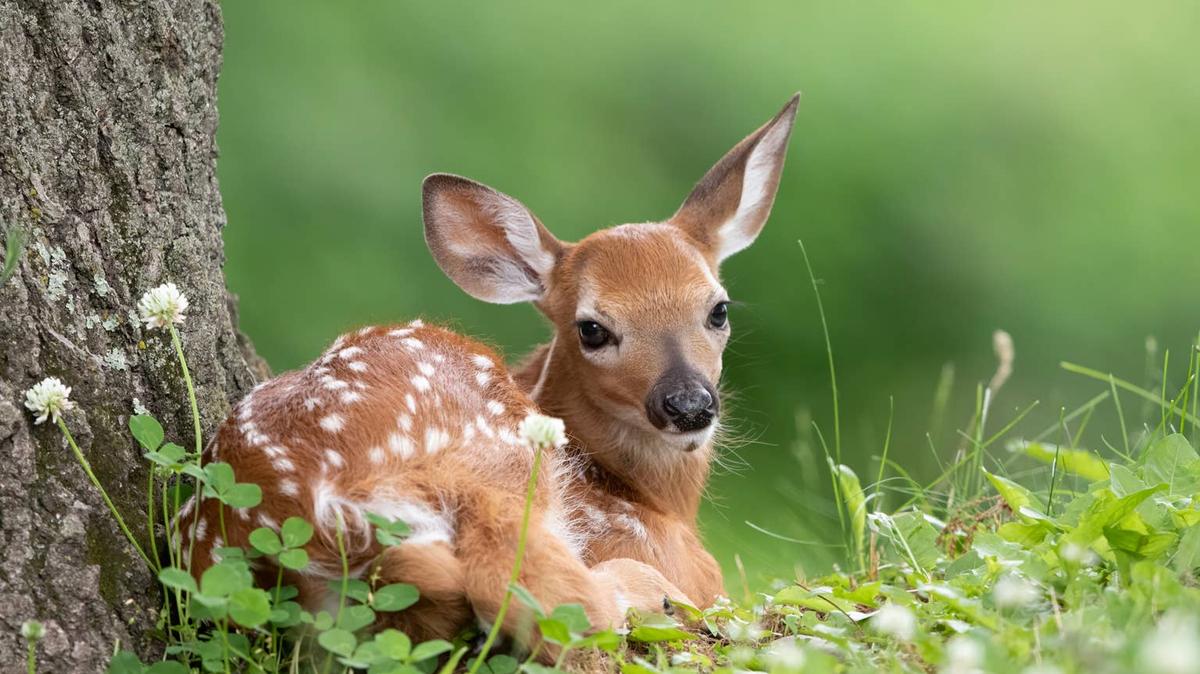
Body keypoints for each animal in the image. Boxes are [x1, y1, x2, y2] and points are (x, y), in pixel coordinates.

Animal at [177, 93, 800, 652]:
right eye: (592, 329)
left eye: (718, 309)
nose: (688, 404)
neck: (650, 498)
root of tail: (315, 510)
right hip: (496, 464)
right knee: (536, 593)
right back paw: (651, 594)